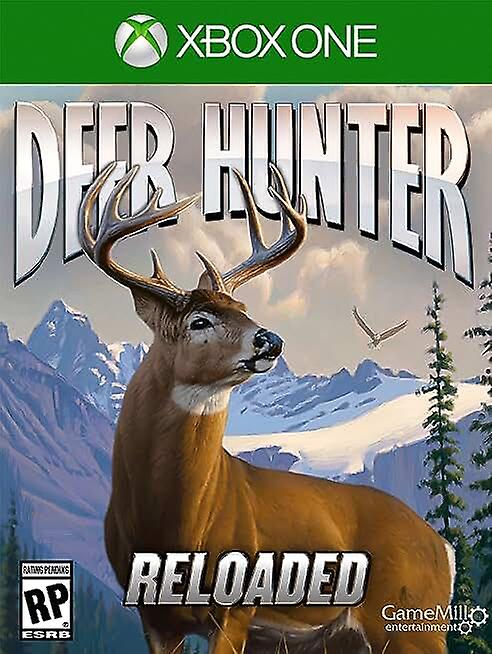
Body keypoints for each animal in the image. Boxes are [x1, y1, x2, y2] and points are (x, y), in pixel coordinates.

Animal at [79, 161, 456, 654]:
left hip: (414, 624)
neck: (171, 524)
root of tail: (443, 547)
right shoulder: (153, 617)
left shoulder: (237, 610)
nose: (270, 339)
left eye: (242, 307)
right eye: (199, 320)